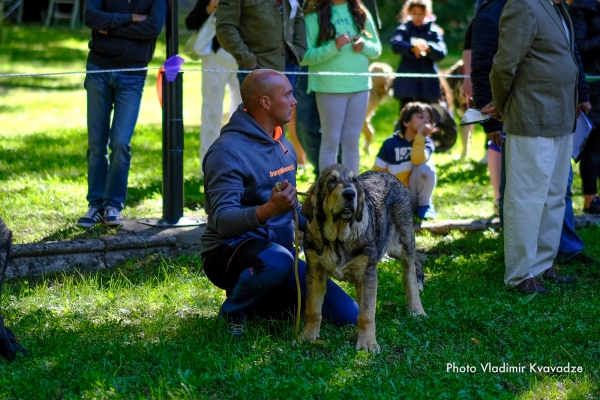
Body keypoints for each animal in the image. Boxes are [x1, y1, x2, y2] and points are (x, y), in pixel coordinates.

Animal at [300, 164, 426, 352]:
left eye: (353, 180)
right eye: (332, 181)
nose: (350, 194)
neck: (337, 238)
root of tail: (388, 175)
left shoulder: (368, 273)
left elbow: (366, 314)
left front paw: (367, 344)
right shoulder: (315, 271)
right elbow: (312, 309)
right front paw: (307, 337)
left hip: (404, 243)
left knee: (410, 275)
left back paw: (417, 311)